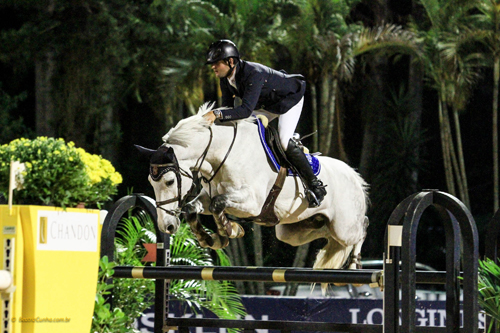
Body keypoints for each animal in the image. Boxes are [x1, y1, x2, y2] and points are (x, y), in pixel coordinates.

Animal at [135, 102, 370, 272]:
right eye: (151, 182)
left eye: (169, 182)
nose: (166, 226)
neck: (223, 154)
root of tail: (355, 176)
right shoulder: (211, 196)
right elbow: (195, 207)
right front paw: (211, 238)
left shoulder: (252, 203)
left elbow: (218, 203)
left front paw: (230, 230)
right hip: (293, 231)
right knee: (324, 233)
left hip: (344, 227)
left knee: (362, 228)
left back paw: (354, 264)